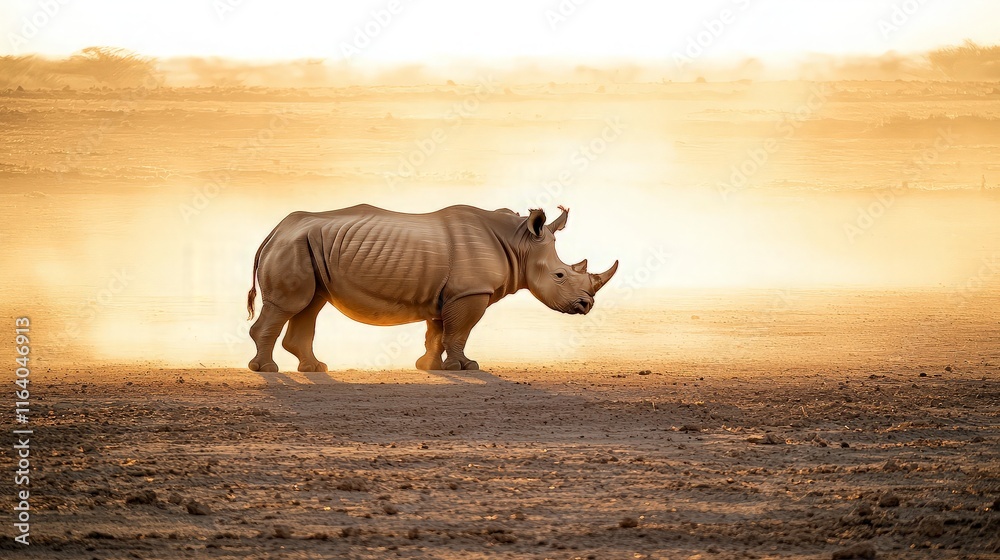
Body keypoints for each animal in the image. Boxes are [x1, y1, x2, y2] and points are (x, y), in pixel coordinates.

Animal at [246, 204, 618, 373]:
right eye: (560, 275)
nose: (586, 306)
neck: (520, 245)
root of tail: (274, 230)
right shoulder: (470, 293)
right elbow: (459, 332)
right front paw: (465, 367)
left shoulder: (449, 293)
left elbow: (437, 332)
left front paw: (430, 367)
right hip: (293, 246)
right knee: (289, 305)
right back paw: (266, 370)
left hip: (307, 247)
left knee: (309, 305)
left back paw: (315, 369)